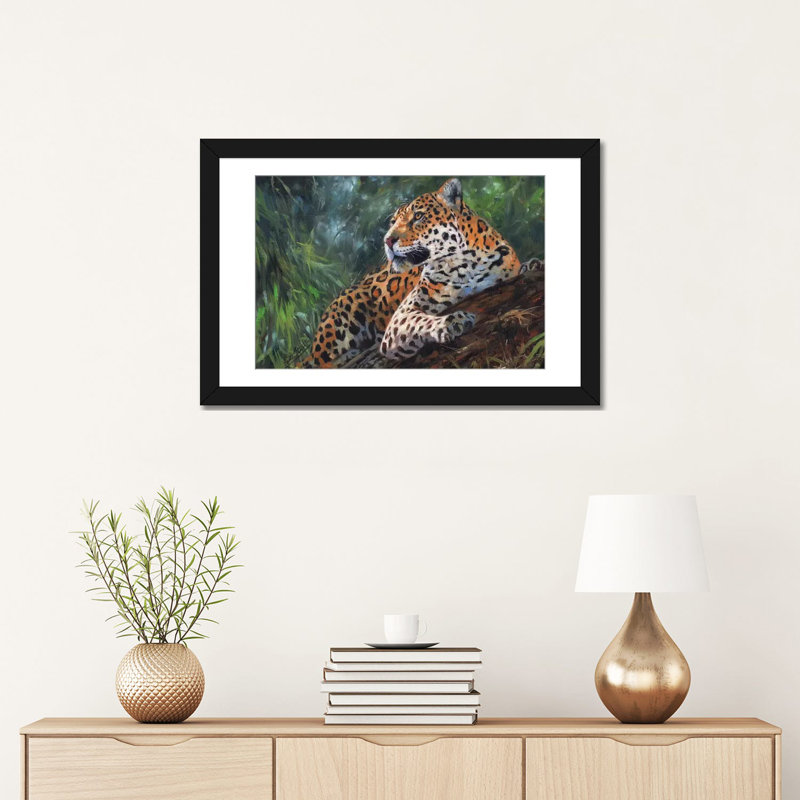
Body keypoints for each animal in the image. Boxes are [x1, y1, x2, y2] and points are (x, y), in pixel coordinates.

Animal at [303, 178, 524, 367]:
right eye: (392, 222)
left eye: (418, 216)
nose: (387, 240)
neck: (464, 264)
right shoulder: (401, 317)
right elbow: (419, 321)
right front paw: (452, 321)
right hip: (342, 319)